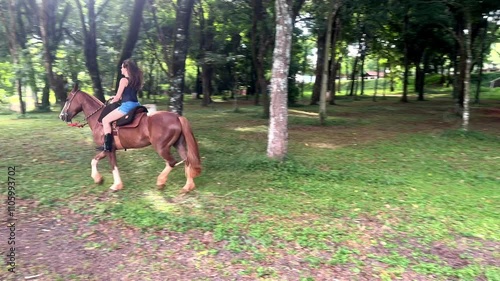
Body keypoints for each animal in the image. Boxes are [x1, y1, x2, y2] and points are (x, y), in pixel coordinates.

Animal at [61, 83, 202, 192]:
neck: (99, 119)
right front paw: (98, 179)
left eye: (67, 99)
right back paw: (187, 187)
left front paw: (116, 185)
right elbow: (94, 160)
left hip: (161, 147)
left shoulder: (109, 149)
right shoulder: (106, 149)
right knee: (187, 161)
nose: (62, 116)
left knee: (172, 162)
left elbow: (113, 166)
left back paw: (161, 182)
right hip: (178, 144)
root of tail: (177, 117)